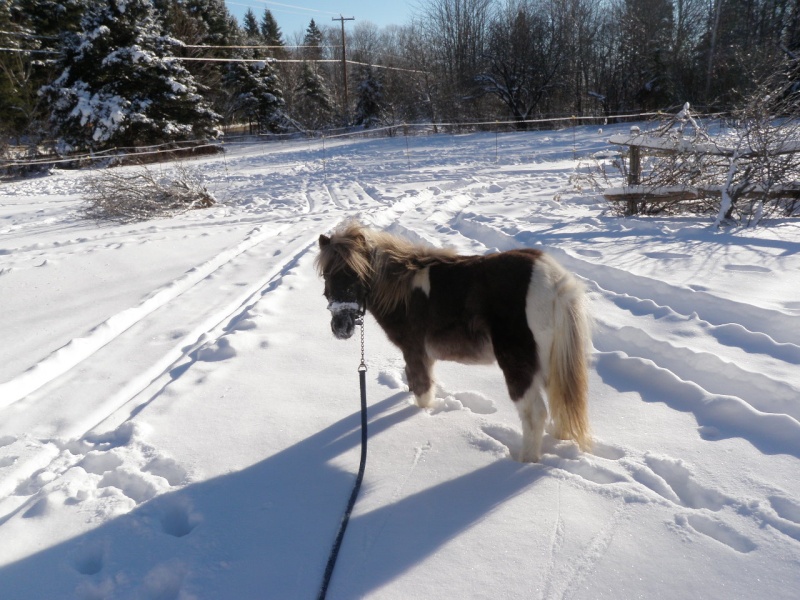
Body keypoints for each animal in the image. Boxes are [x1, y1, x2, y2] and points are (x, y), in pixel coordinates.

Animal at [316, 223, 592, 462]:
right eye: (328, 275)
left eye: (356, 275)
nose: (340, 328)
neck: (402, 289)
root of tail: (554, 280)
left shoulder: (415, 351)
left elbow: (423, 391)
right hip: (548, 365)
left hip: (518, 366)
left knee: (535, 414)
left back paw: (525, 461)